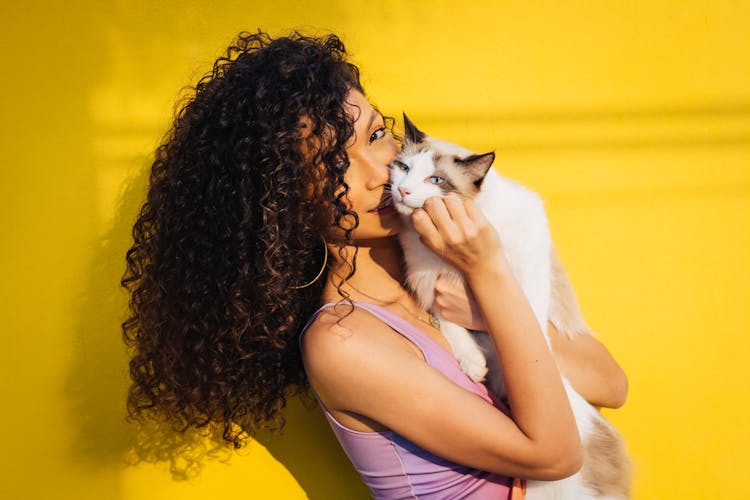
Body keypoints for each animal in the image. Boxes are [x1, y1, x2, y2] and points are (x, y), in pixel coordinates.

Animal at [390, 114, 632, 500]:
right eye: (404, 168)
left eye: (436, 180)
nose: (403, 191)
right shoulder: (430, 282)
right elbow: (453, 328)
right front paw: (473, 364)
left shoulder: (525, 266)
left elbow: (529, 325)